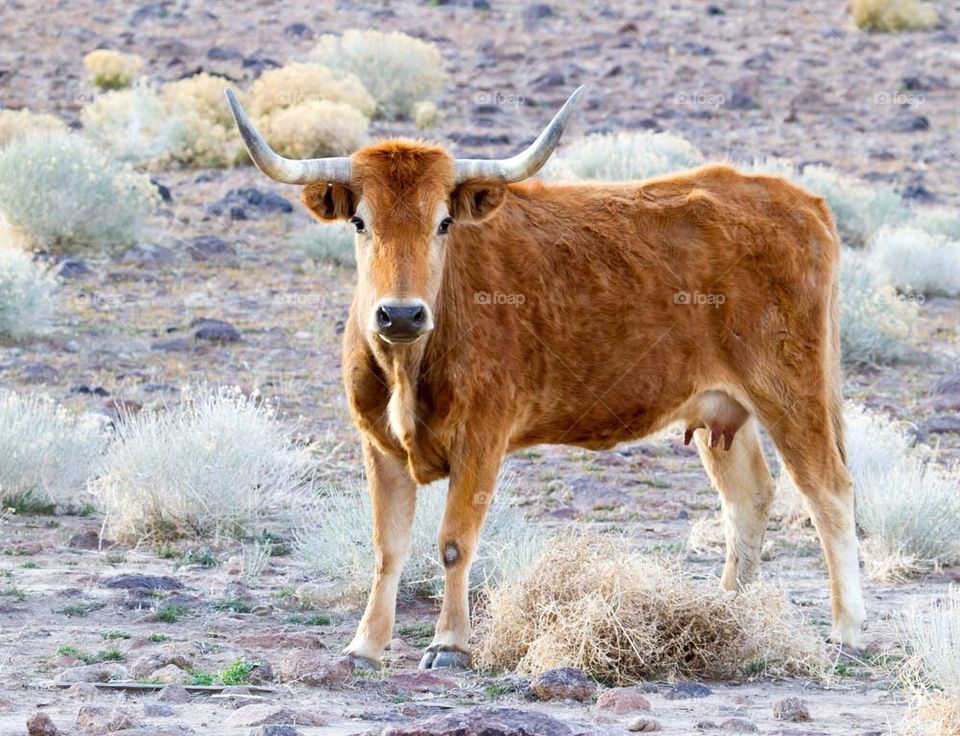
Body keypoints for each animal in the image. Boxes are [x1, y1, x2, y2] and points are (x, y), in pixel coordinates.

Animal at [226, 86, 865, 670]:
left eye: (443, 222)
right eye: (360, 221)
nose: (401, 314)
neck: (410, 366)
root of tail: (798, 201)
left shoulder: (482, 439)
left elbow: (453, 542)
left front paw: (448, 644)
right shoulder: (378, 445)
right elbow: (388, 549)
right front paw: (364, 646)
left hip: (793, 391)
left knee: (829, 493)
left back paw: (848, 630)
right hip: (722, 409)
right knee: (749, 497)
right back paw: (726, 614)